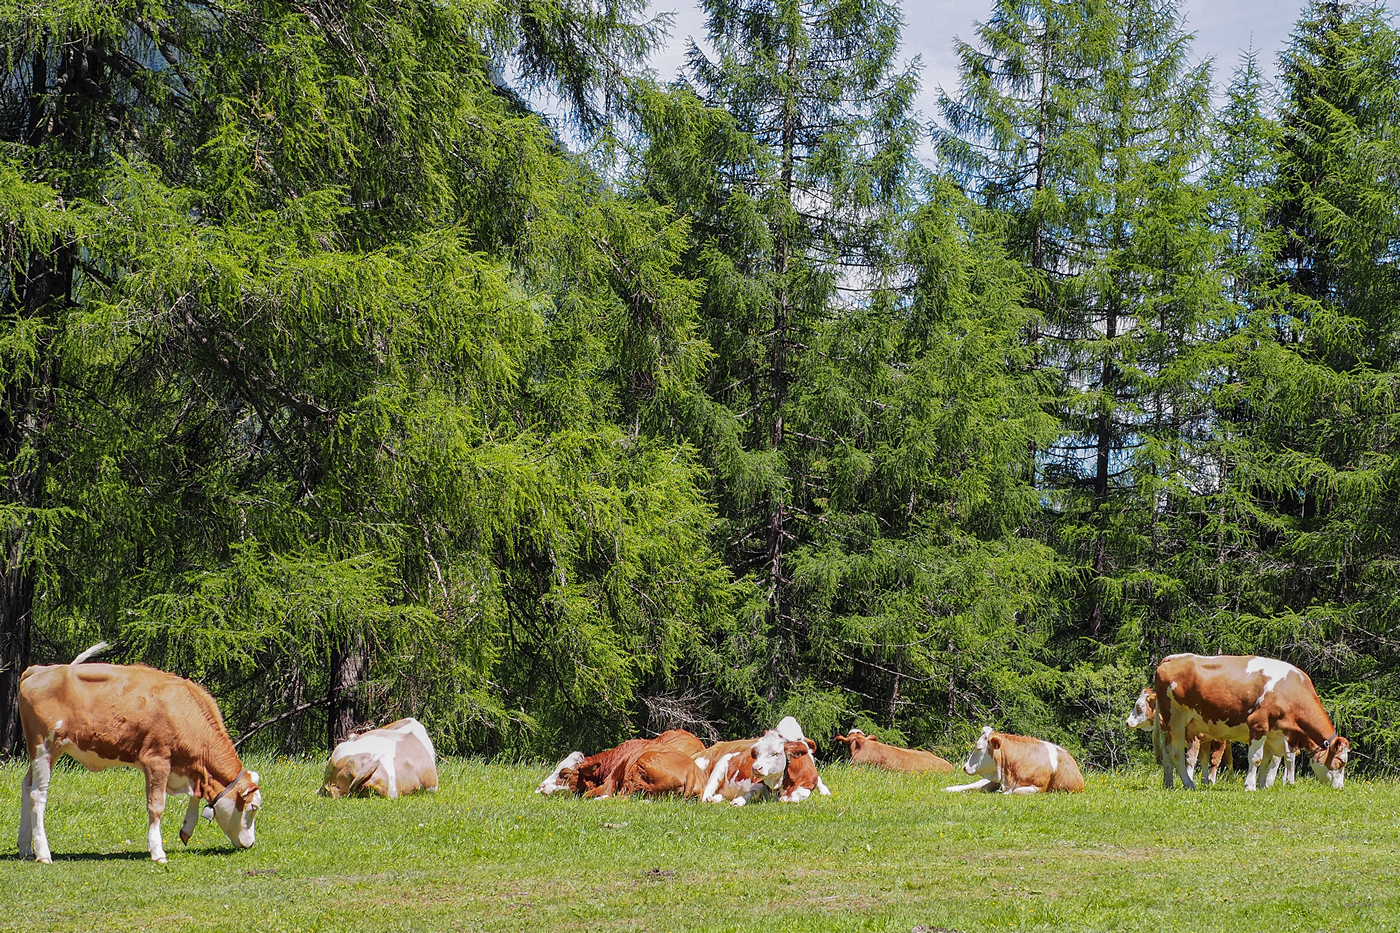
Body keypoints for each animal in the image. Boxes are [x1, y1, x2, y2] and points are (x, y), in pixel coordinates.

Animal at [16, 644, 263, 862]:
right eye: (253, 808)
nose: (251, 844)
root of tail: (39, 670)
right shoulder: (157, 760)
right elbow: (156, 807)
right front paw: (158, 852)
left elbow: (196, 795)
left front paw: (187, 828)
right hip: (44, 747)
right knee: (38, 795)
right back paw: (43, 853)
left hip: (42, 753)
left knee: (26, 786)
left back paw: (25, 848)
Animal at [1153, 650, 1349, 790]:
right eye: (1341, 762)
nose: (1340, 787)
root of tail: (1172, 657)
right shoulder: (1259, 723)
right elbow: (1256, 758)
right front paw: (1250, 786)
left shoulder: (1274, 732)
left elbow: (1268, 759)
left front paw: (1262, 785)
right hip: (1176, 719)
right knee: (1177, 752)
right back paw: (1188, 784)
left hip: (1174, 726)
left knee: (1167, 750)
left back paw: (1169, 783)